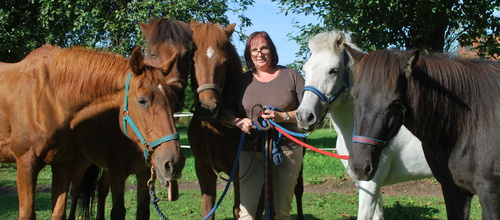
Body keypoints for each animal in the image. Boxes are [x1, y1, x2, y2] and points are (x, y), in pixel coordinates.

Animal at [0, 44, 185, 220]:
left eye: (174, 100)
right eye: (142, 101)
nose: (174, 163)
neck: (50, 98)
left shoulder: (63, 164)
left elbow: (59, 213)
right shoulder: (26, 164)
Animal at [66, 18, 191, 220]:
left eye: (187, 54)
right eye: (153, 52)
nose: (178, 93)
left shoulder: (144, 174)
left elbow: (142, 211)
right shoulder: (118, 172)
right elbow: (118, 211)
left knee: (101, 189)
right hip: (81, 162)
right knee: (75, 191)